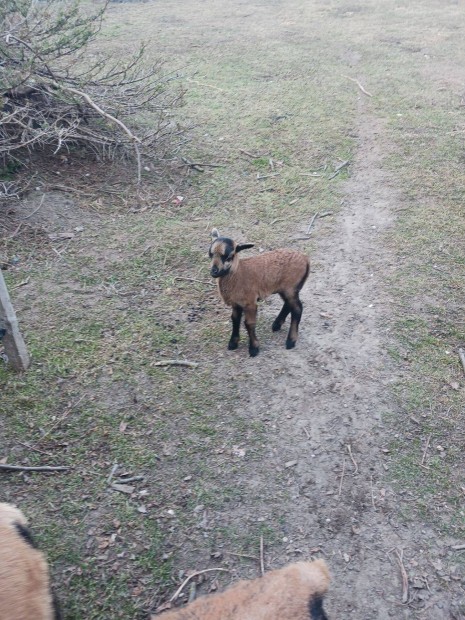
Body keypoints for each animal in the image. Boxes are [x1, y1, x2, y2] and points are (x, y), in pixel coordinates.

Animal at [208, 228, 310, 356]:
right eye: (210, 254)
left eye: (229, 256)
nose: (214, 271)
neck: (239, 273)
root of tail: (306, 259)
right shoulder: (236, 303)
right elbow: (235, 319)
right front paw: (233, 343)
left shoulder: (250, 302)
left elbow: (249, 323)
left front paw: (254, 348)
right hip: (286, 289)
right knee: (288, 304)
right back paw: (276, 325)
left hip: (290, 287)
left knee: (297, 309)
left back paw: (291, 341)